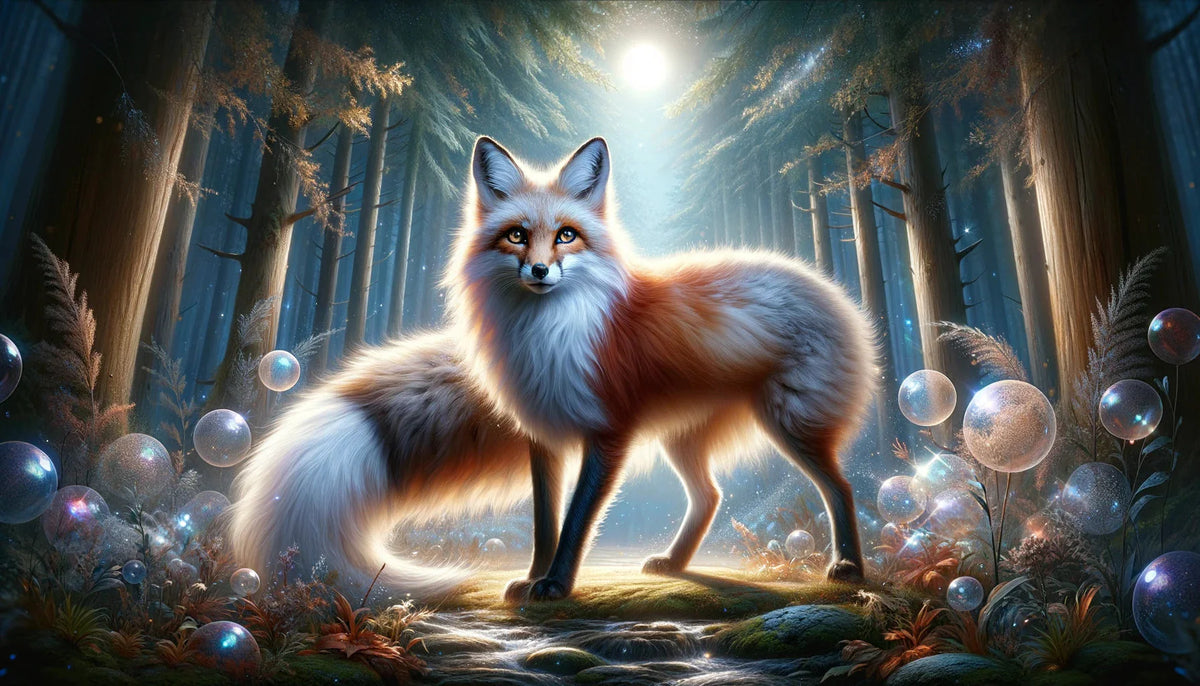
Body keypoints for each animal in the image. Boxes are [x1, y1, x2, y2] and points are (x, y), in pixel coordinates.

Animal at [447, 136, 878, 601]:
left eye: (566, 235)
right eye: (517, 235)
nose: (540, 270)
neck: (551, 334)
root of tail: (835, 293)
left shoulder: (609, 432)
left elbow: (576, 520)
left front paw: (556, 584)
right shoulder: (543, 436)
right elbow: (544, 524)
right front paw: (532, 579)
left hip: (791, 424)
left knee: (842, 488)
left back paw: (850, 566)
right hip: (683, 439)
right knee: (710, 495)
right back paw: (674, 563)